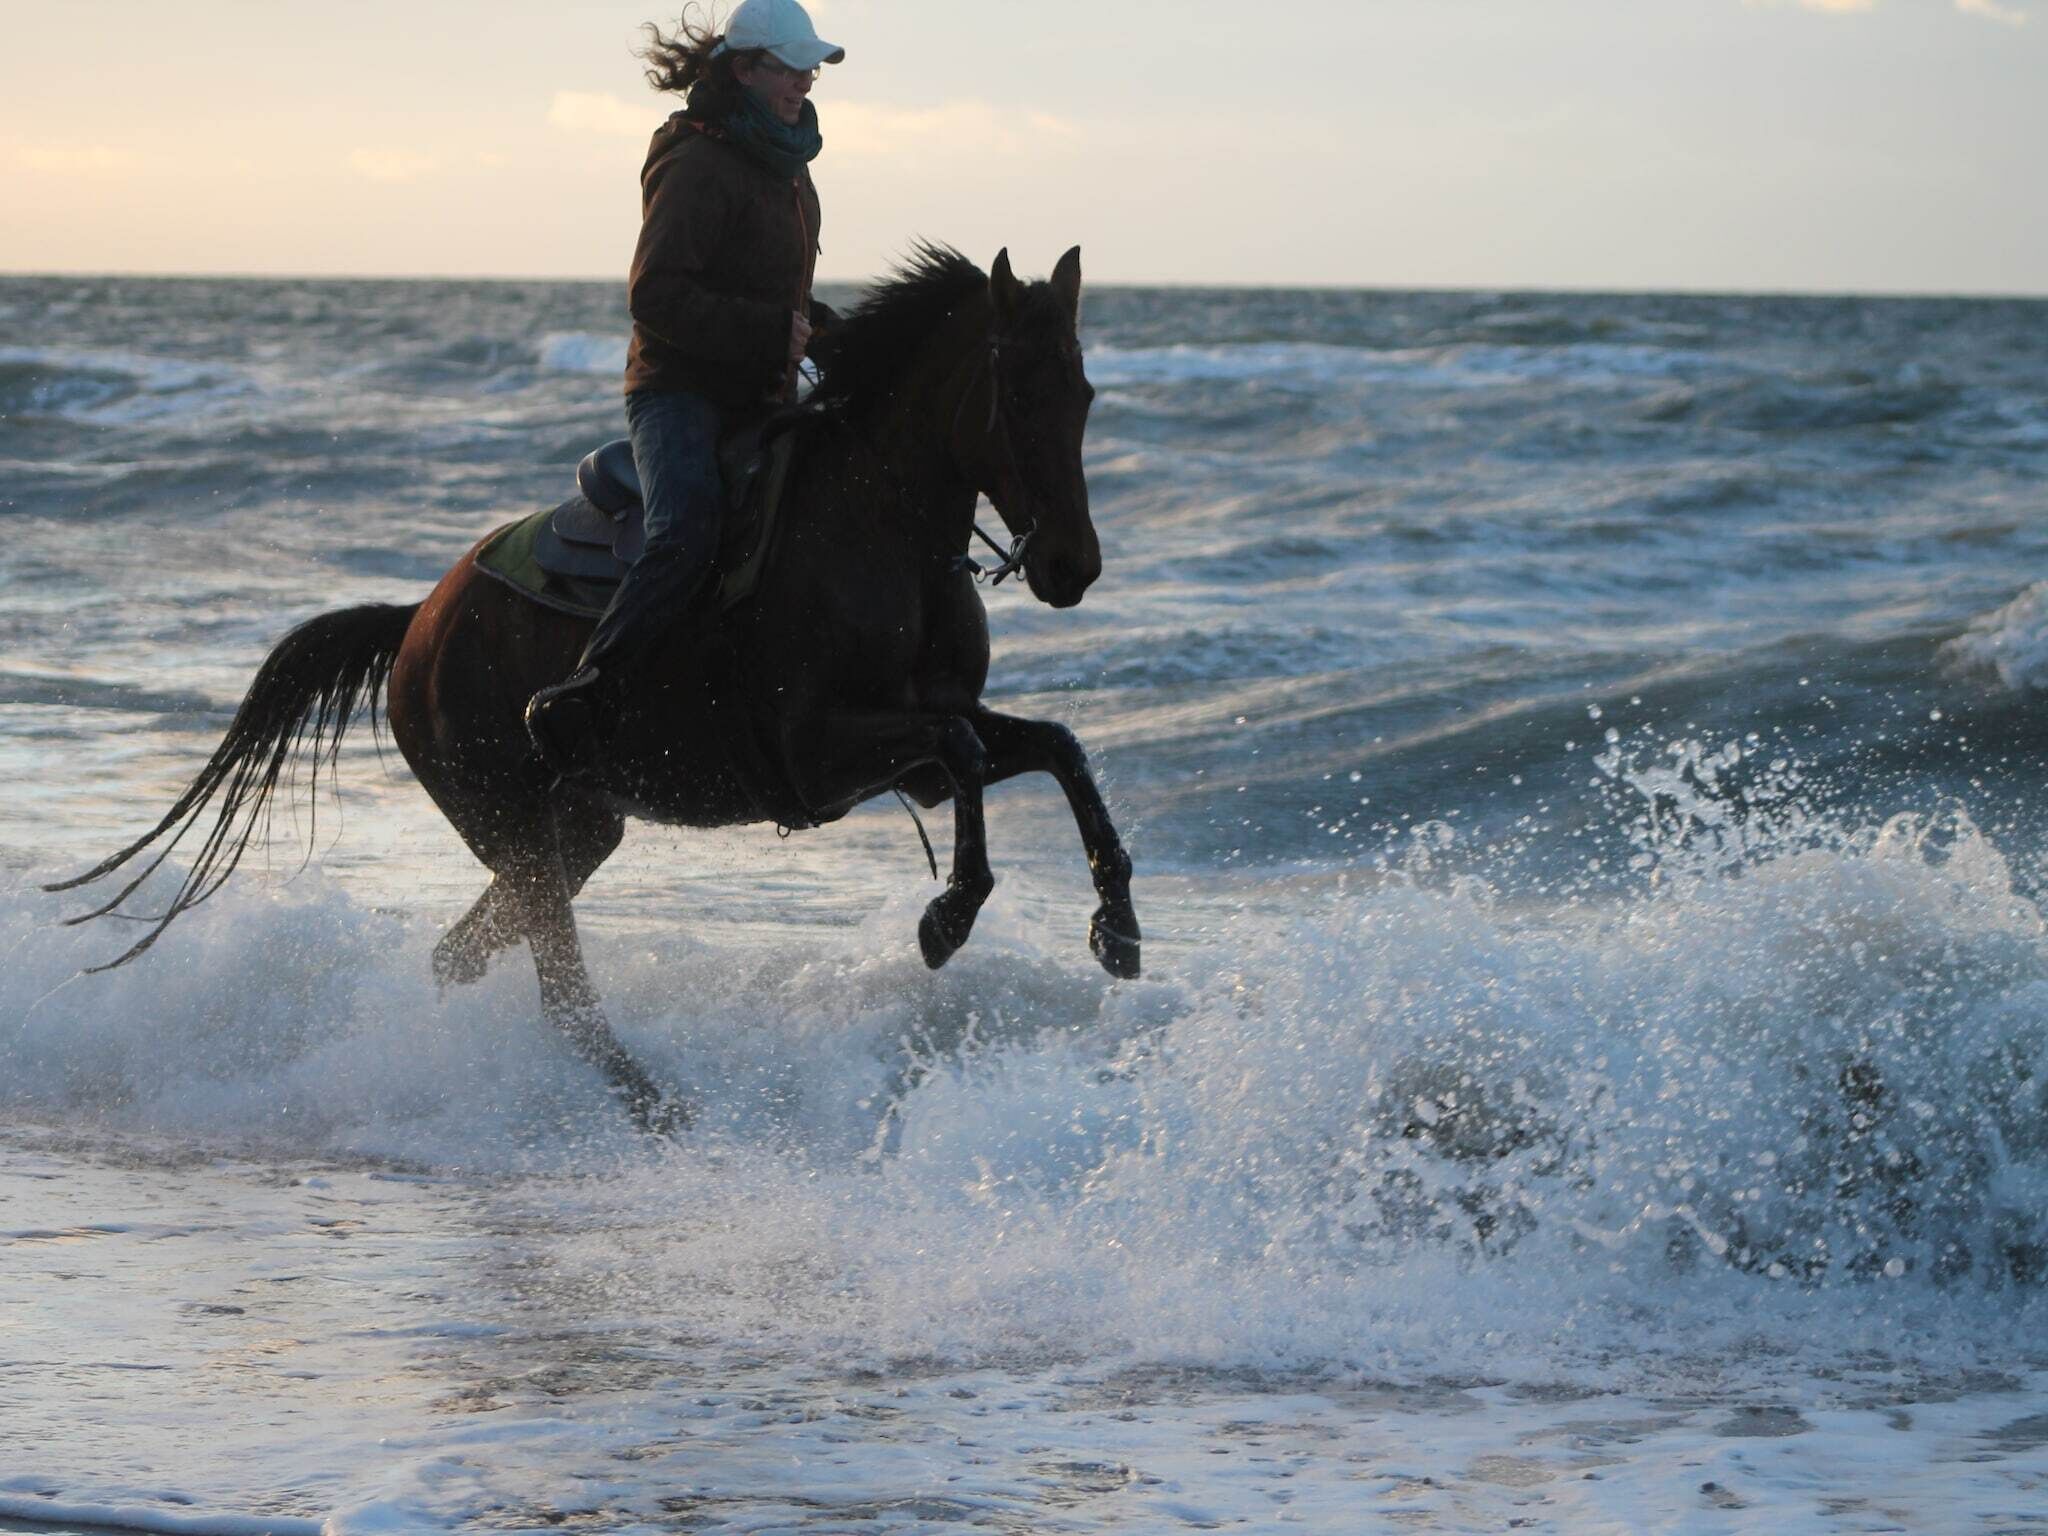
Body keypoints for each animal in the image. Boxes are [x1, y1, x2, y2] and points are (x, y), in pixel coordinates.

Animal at [45, 244, 1140, 1135]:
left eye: (1085, 394)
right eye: (1018, 393)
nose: (1072, 567)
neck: (883, 535)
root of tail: (417, 623)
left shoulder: (914, 748)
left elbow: (1053, 746)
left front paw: (1117, 928)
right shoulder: (820, 753)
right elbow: (969, 753)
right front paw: (949, 916)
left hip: (574, 830)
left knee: (463, 956)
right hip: (518, 827)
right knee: (560, 994)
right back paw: (658, 1110)